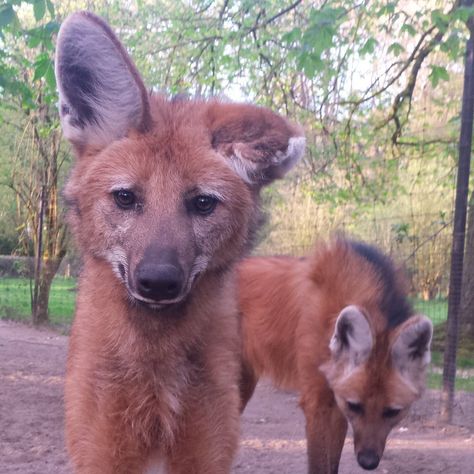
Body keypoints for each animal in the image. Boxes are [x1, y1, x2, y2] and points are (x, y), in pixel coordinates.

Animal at [55, 12, 306, 474]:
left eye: (203, 203)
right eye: (125, 197)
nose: (158, 281)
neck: (155, 365)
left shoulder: (206, 450)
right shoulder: (102, 452)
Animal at [239, 239, 432, 474]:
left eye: (392, 412)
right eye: (356, 406)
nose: (368, 462)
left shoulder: (337, 401)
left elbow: (333, 464)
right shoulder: (318, 404)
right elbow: (319, 465)